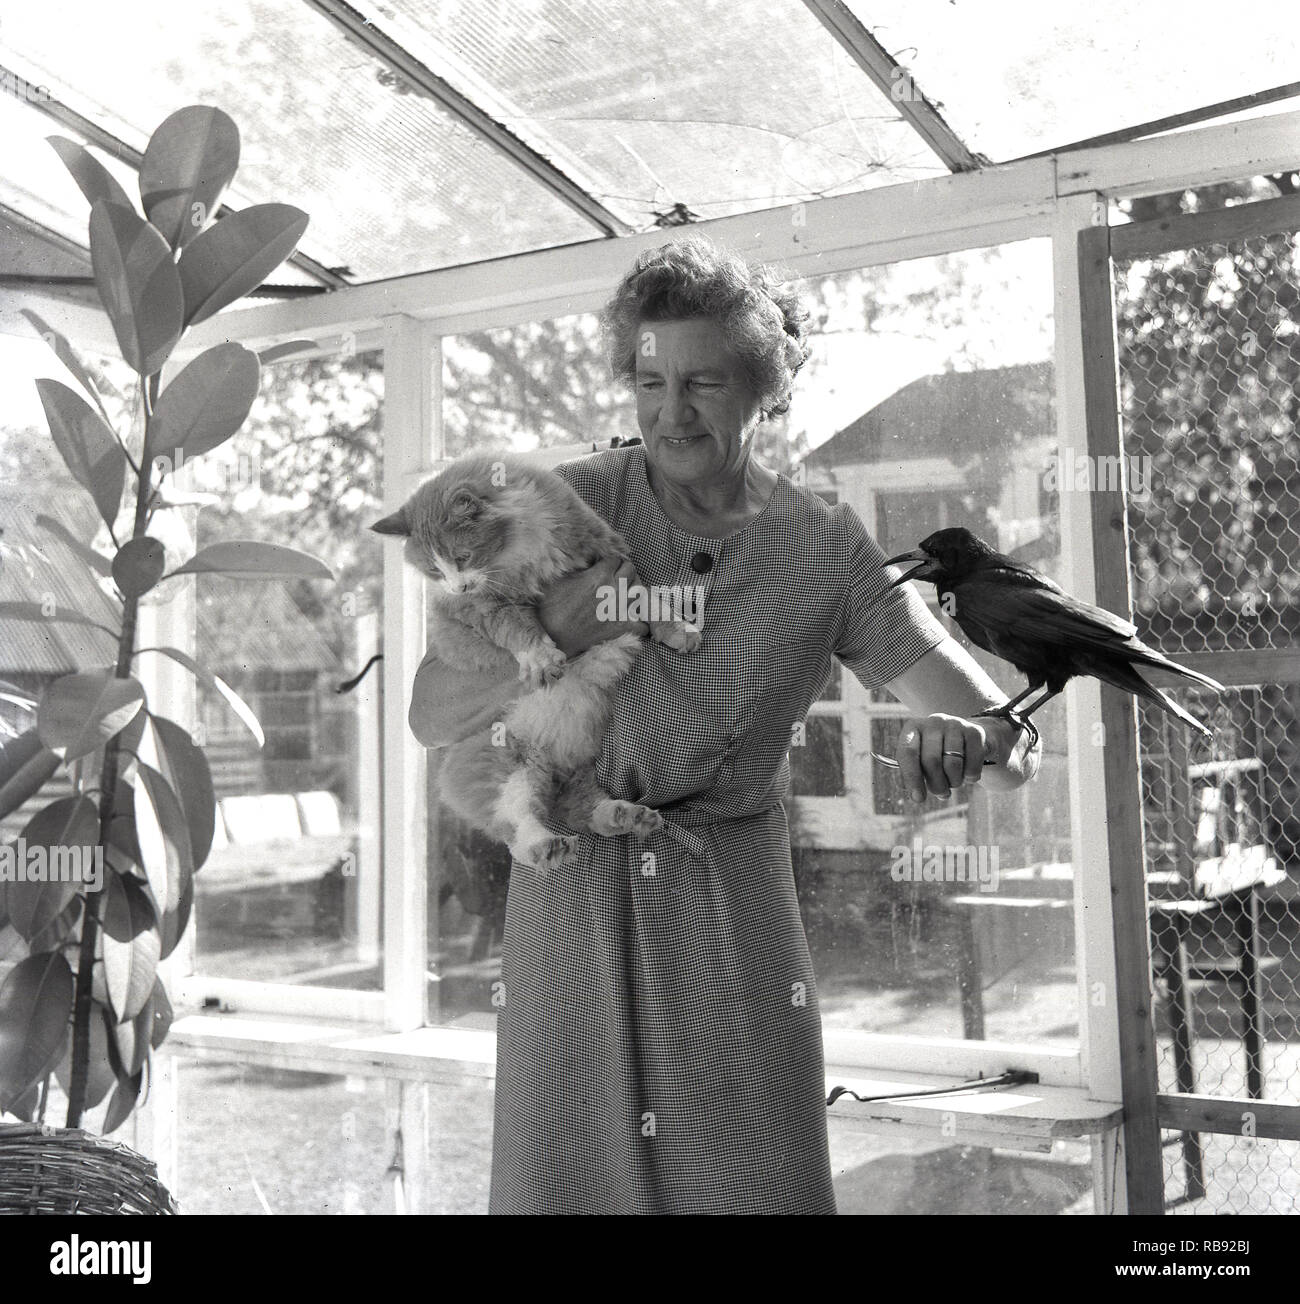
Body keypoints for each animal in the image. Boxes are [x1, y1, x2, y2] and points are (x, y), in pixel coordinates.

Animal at [370, 453, 698, 871]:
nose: (458, 587)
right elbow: (519, 629)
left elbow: (648, 599)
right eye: (434, 571)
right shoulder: (486, 607)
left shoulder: (608, 554)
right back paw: (549, 845)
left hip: (578, 770)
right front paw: (542, 660)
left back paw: (626, 815)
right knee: (521, 826)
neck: (517, 554)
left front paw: (679, 629)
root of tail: (548, 756)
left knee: (584, 809)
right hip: (504, 764)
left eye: (462, 557)